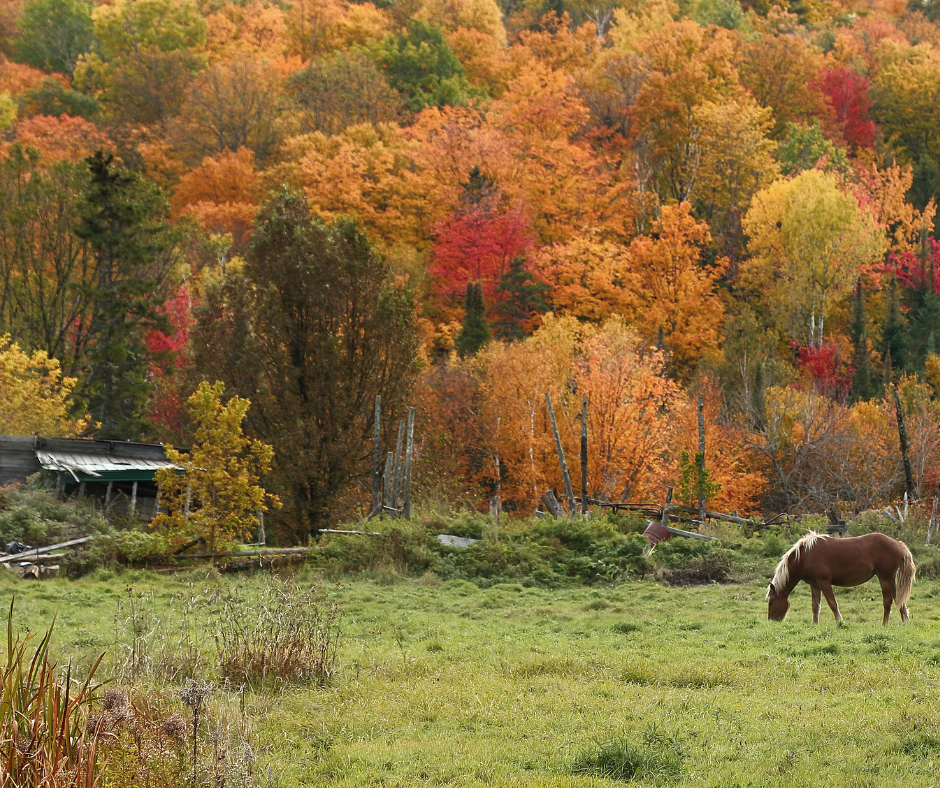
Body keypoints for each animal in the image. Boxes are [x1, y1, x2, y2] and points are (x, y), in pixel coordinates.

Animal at [768, 532, 916, 624]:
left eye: (771, 603)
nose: (771, 621)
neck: (805, 556)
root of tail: (897, 543)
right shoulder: (814, 584)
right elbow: (815, 606)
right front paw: (814, 624)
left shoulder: (824, 582)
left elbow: (832, 603)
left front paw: (840, 621)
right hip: (891, 580)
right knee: (899, 600)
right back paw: (905, 621)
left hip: (884, 579)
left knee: (887, 601)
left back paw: (884, 624)